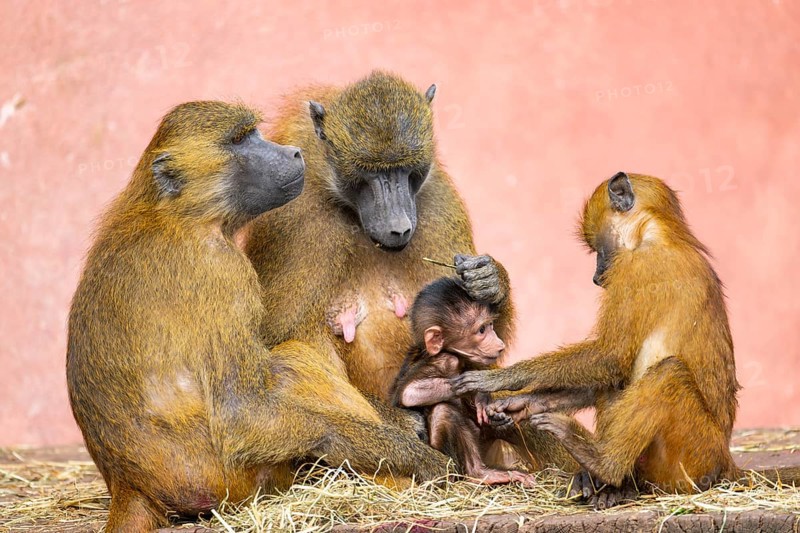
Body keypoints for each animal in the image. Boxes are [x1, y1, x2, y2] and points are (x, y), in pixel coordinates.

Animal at [66, 101, 451, 531]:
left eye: (253, 133)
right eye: (239, 140)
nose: (294, 152)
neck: (177, 214)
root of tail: (128, 484)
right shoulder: (224, 274)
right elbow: (242, 414)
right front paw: (414, 456)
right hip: (227, 480)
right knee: (291, 363)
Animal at [389, 277, 537, 486]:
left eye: (490, 326)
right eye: (481, 330)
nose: (499, 344)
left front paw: (490, 408)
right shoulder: (447, 360)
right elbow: (408, 393)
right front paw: (475, 389)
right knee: (444, 411)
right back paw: (480, 473)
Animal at [452, 172, 741, 508]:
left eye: (597, 248)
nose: (595, 275)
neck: (658, 234)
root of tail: (724, 463)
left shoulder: (633, 268)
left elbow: (610, 357)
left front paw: (499, 380)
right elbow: (610, 372)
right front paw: (519, 404)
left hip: (693, 458)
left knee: (669, 373)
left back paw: (604, 464)